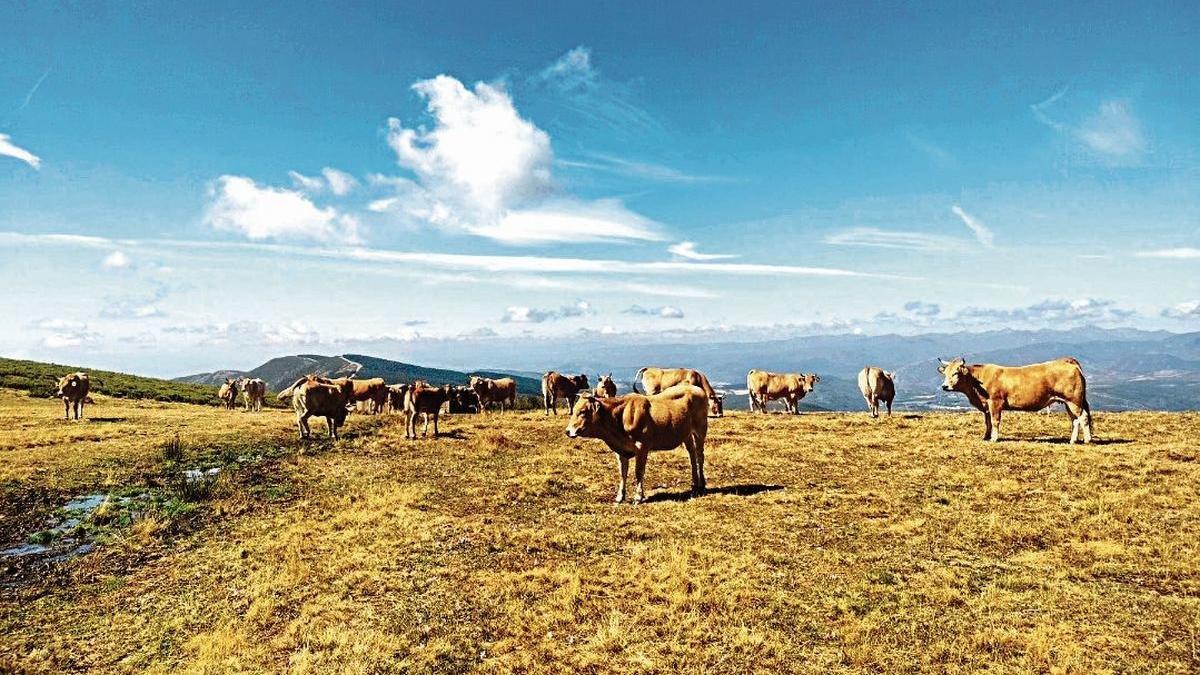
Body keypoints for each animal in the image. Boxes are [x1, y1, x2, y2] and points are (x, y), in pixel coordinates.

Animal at [565, 384, 710, 504]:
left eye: (583, 412)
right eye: (574, 409)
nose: (567, 431)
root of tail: (696, 388)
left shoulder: (642, 446)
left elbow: (638, 472)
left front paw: (638, 497)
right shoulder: (620, 451)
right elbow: (622, 473)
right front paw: (619, 497)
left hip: (700, 429)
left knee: (700, 456)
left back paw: (701, 484)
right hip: (686, 434)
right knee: (692, 454)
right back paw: (694, 484)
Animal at [937, 357, 1093, 443]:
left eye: (956, 373)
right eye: (945, 373)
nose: (944, 386)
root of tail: (1068, 361)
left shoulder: (995, 402)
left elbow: (995, 421)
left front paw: (994, 438)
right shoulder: (986, 406)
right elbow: (987, 422)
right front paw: (986, 436)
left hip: (1074, 401)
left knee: (1083, 417)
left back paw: (1087, 440)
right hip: (1069, 402)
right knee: (1075, 420)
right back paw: (1072, 440)